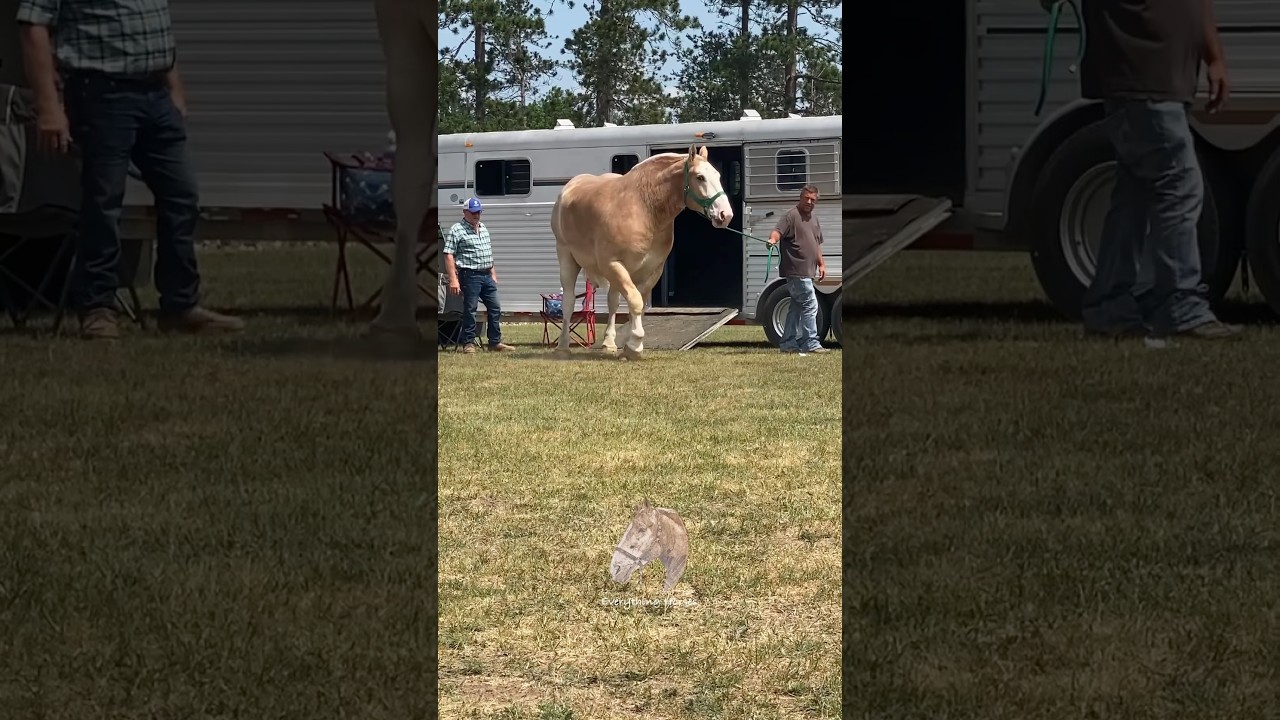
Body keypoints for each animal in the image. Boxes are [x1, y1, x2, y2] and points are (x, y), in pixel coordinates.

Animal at [550, 145, 734, 359]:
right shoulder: (613, 264)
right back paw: (562, 348)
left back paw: (609, 344)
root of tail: (570, 186)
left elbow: (636, 305)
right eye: (700, 177)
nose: (725, 215)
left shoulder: (650, 270)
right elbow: (636, 302)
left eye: (717, 175)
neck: (644, 209)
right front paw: (635, 345)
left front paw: (629, 347)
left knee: (612, 302)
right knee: (569, 301)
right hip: (567, 257)